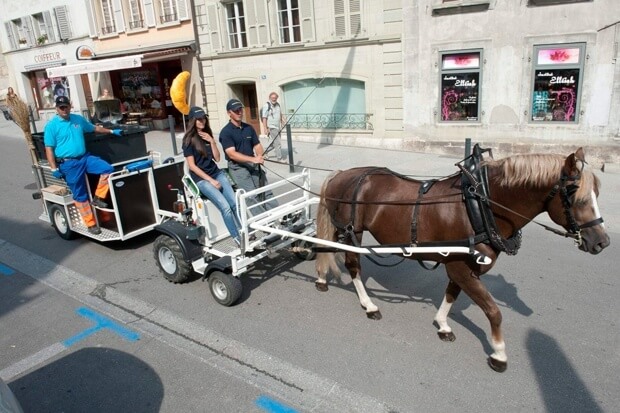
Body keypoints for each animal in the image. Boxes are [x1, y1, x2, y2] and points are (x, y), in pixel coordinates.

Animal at [318, 147, 608, 370]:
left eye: (596, 195)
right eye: (577, 198)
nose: (602, 242)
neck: (481, 206)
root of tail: (341, 174)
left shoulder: (460, 265)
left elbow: (451, 294)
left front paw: (443, 325)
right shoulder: (460, 266)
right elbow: (493, 311)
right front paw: (499, 353)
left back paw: (321, 278)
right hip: (351, 230)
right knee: (353, 264)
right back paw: (369, 305)